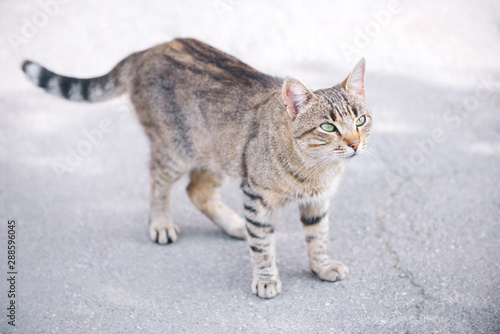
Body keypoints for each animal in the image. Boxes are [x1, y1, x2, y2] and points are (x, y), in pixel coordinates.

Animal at [21, 37, 370, 298]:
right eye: (327, 127)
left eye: (361, 121)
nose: (355, 144)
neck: (317, 170)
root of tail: (148, 49)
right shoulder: (255, 195)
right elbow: (262, 243)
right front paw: (266, 278)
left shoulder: (318, 201)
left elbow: (318, 236)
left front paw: (321, 266)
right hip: (174, 151)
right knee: (158, 182)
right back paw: (161, 223)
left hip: (217, 154)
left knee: (197, 190)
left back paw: (234, 225)